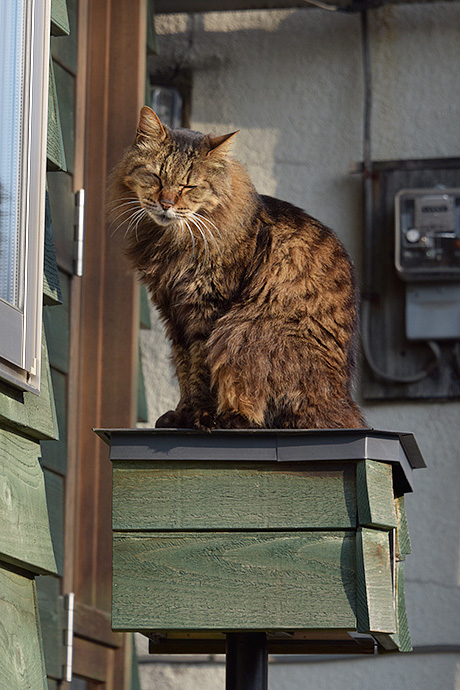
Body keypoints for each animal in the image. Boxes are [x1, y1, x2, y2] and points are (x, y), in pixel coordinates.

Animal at [106, 106, 364, 430]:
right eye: (156, 177)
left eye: (188, 186)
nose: (165, 204)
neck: (172, 241)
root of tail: (342, 402)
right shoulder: (173, 312)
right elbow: (183, 368)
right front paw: (181, 415)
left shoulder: (206, 310)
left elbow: (200, 370)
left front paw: (199, 417)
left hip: (242, 331)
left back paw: (230, 419)